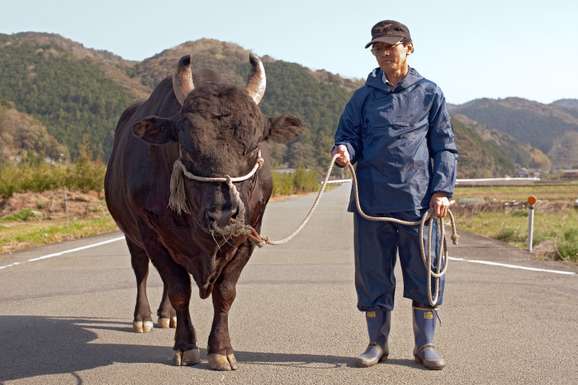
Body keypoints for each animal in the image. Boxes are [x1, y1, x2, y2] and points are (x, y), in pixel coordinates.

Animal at [104, 54, 304, 368]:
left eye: (254, 146)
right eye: (186, 146)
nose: (223, 216)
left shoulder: (249, 233)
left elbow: (225, 292)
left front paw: (221, 349)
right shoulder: (152, 235)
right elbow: (178, 289)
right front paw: (186, 346)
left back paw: (166, 316)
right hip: (131, 234)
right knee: (141, 271)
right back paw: (144, 318)